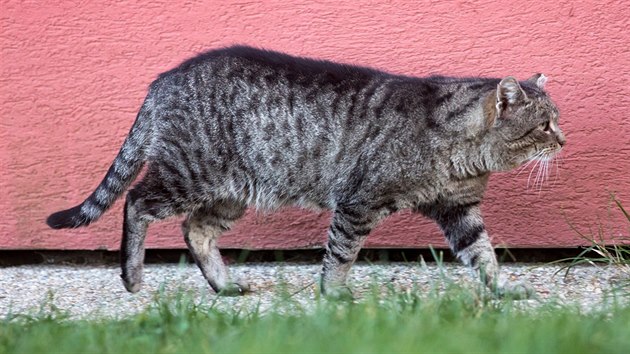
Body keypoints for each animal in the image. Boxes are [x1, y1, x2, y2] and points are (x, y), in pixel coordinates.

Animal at [47, 44, 564, 298]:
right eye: (544, 124)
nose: (563, 140)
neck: (462, 153)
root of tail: (162, 80)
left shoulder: (460, 210)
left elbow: (484, 254)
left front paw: (501, 291)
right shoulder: (358, 203)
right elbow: (341, 254)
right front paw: (332, 296)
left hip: (232, 193)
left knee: (196, 229)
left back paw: (225, 286)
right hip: (191, 173)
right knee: (137, 201)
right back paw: (132, 277)